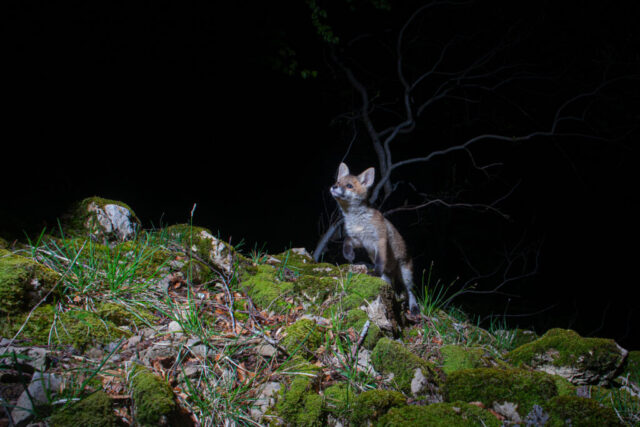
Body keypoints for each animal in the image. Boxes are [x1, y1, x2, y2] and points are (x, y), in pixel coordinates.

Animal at [330, 162, 420, 315]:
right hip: (389, 276)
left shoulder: (380, 240)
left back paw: (414, 308)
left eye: (349, 186)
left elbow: (379, 261)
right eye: (338, 182)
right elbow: (346, 241)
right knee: (391, 286)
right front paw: (349, 255)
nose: (334, 187)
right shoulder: (359, 240)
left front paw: (374, 272)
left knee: (410, 292)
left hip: (406, 274)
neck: (358, 221)